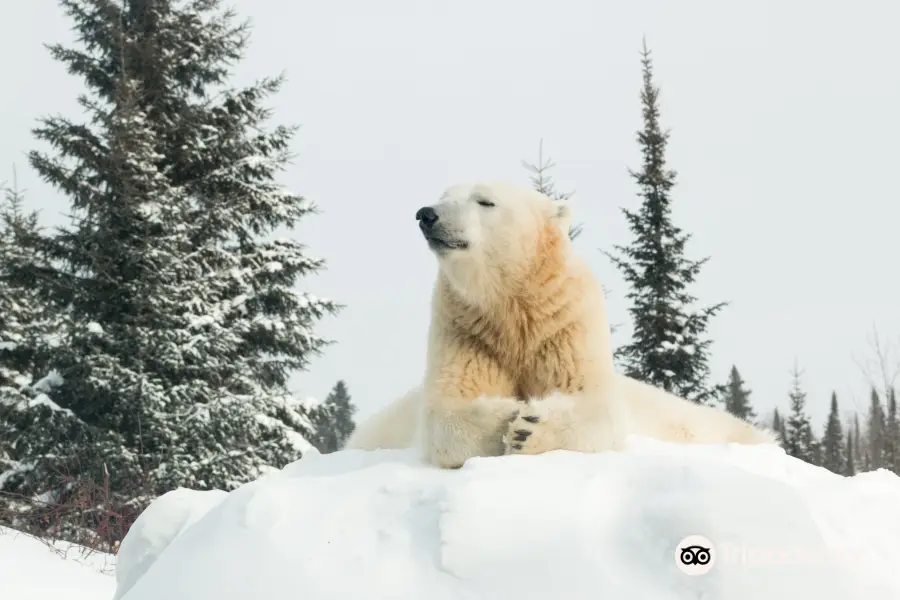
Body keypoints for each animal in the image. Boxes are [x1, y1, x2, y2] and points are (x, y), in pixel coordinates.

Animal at [344, 180, 772, 466]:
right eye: (445, 195)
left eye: (485, 201)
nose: (427, 214)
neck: (512, 309)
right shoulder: (467, 329)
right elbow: (446, 406)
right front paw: (505, 416)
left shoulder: (564, 324)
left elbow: (595, 405)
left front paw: (528, 426)